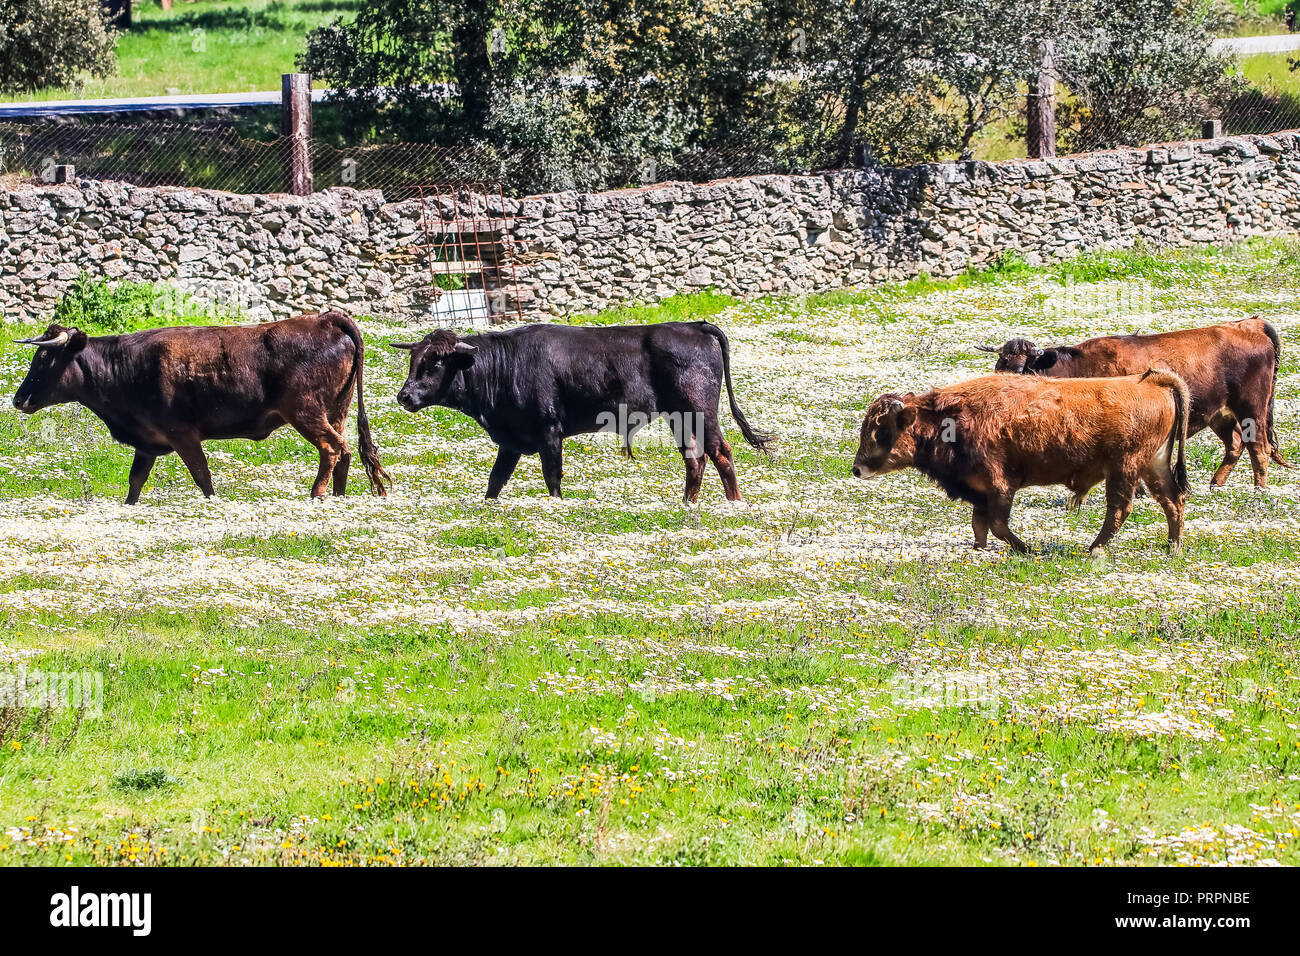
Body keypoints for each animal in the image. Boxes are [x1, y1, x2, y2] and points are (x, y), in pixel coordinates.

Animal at [11, 310, 390, 503]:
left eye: (45, 359)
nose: (18, 399)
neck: (129, 367)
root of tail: (325, 319)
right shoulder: (147, 442)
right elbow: (135, 481)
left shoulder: (183, 434)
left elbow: (202, 475)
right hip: (336, 411)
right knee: (346, 451)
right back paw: (339, 497)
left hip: (306, 412)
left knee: (331, 448)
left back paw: (317, 495)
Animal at [391, 321, 773, 501]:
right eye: (413, 360)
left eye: (436, 362)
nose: (404, 396)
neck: (506, 365)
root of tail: (694, 325)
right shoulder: (511, 442)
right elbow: (495, 481)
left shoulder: (549, 433)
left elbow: (552, 477)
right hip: (680, 418)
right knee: (695, 459)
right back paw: (686, 505)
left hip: (701, 410)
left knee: (720, 452)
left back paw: (732, 504)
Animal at [851, 370, 1189, 556]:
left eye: (881, 431)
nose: (857, 469)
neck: (950, 418)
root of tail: (1151, 381)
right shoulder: (980, 492)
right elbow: (979, 526)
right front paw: (979, 550)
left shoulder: (999, 486)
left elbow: (998, 525)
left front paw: (1027, 549)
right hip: (1154, 464)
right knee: (1172, 501)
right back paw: (1172, 547)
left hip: (1125, 468)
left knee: (1120, 509)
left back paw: (1094, 549)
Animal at [977, 317, 1286, 490]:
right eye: (1000, 364)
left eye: (1022, 368)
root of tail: (1251, 324)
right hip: (1221, 414)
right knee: (1235, 444)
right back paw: (1215, 484)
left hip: (1251, 408)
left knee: (1259, 448)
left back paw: (1259, 492)